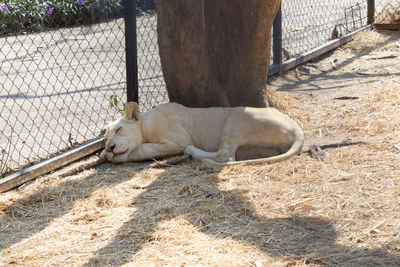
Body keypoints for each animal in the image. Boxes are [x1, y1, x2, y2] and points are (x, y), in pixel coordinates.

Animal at [99, 102, 304, 165]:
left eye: (119, 129)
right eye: (106, 138)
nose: (110, 147)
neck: (146, 123)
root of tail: (296, 128)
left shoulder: (178, 140)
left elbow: (144, 149)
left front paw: (115, 156)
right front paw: (103, 153)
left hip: (235, 118)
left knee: (226, 156)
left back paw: (192, 152)